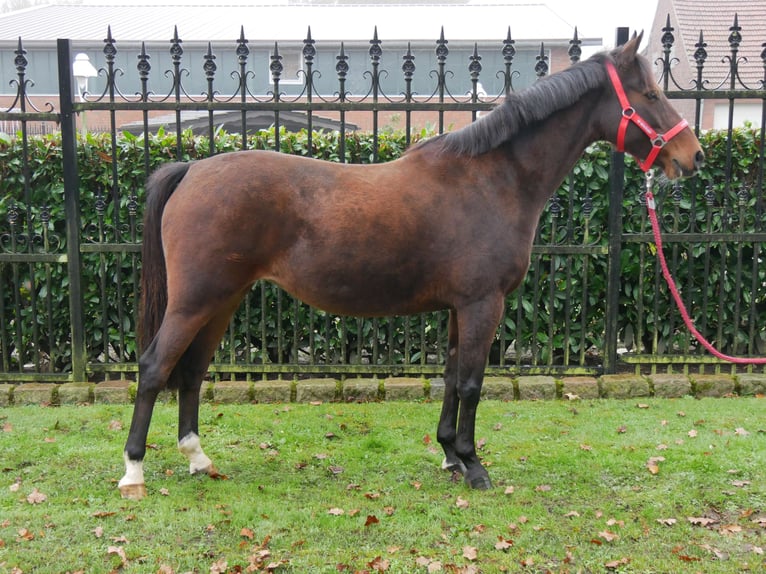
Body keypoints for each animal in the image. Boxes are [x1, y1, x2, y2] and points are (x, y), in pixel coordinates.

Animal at [118, 33, 708, 500]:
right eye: (651, 95)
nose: (693, 155)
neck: (494, 178)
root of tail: (192, 169)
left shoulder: (459, 308)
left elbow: (449, 376)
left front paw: (449, 455)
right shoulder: (483, 304)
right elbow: (471, 383)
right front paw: (474, 465)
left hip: (222, 300)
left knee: (192, 371)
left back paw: (198, 458)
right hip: (196, 300)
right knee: (154, 367)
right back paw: (133, 471)